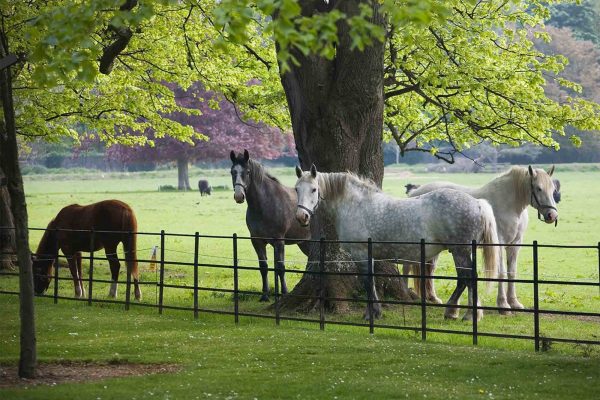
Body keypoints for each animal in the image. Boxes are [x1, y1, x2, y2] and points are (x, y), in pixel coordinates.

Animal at [231, 150, 312, 300]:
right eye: (233, 171)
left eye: (247, 172)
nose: (239, 196)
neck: (264, 205)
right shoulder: (257, 241)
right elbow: (264, 267)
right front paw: (265, 295)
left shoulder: (279, 241)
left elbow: (280, 268)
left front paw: (284, 293)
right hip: (305, 242)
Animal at [292, 166, 500, 322]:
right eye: (296, 189)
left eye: (314, 189)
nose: (301, 217)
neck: (356, 205)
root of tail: (477, 203)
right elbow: (370, 282)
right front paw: (374, 312)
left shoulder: (361, 253)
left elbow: (368, 283)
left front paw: (372, 314)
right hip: (462, 252)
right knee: (465, 279)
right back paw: (455, 312)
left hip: (460, 251)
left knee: (468, 278)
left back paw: (466, 315)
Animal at [408, 165, 556, 312]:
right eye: (538, 188)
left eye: (553, 189)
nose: (552, 215)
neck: (508, 205)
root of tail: (415, 193)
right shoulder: (499, 244)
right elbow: (501, 273)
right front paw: (503, 304)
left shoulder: (515, 245)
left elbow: (512, 272)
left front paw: (514, 303)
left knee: (429, 269)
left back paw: (432, 298)